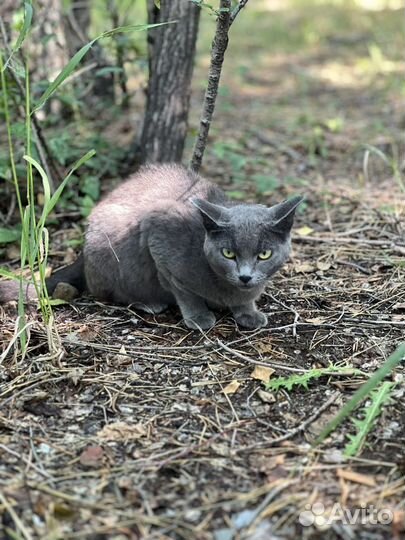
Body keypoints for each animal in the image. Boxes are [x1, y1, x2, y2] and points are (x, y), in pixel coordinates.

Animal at [0, 162, 302, 330]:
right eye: (228, 253)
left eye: (264, 254)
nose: (245, 276)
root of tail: (82, 255)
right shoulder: (160, 230)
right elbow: (184, 291)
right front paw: (199, 317)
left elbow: (245, 300)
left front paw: (248, 312)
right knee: (109, 292)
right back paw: (148, 303)